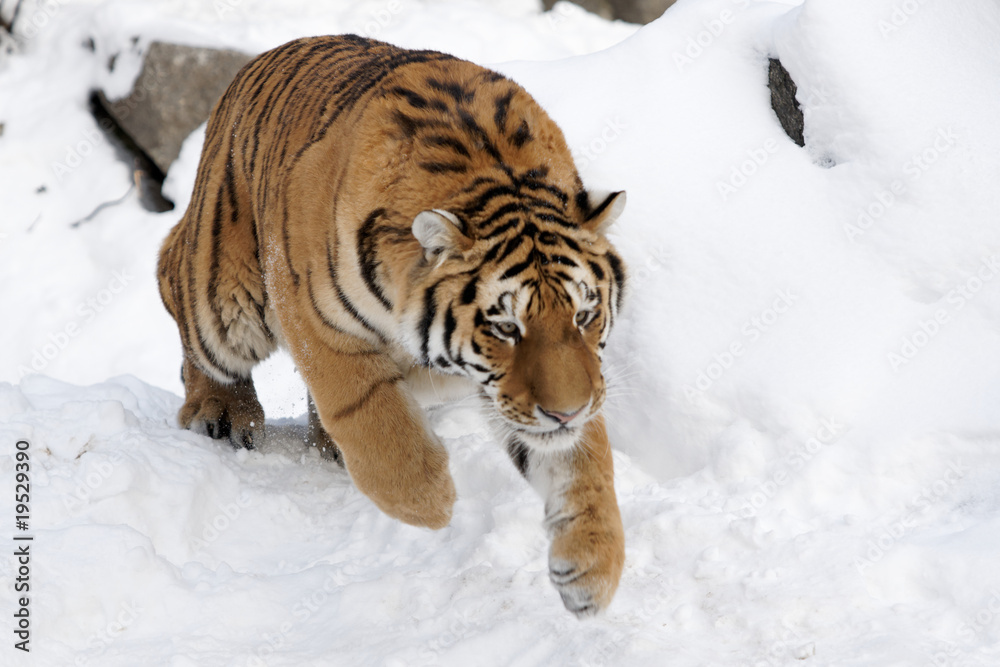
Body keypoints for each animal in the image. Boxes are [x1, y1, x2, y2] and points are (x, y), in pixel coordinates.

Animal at [156, 34, 627, 616]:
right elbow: (370, 413)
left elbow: (585, 462)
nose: (566, 412)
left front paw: (593, 567)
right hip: (223, 295)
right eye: (505, 328)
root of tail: (257, 62)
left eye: (584, 316)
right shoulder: (314, 317)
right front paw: (428, 502)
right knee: (174, 277)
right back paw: (222, 413)